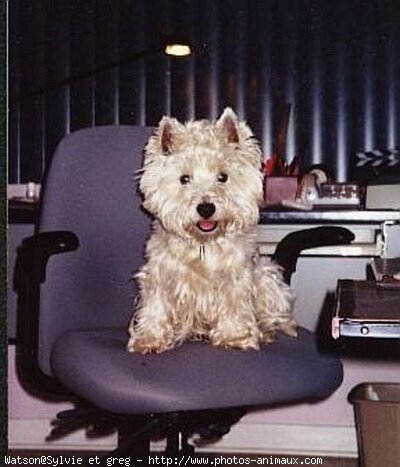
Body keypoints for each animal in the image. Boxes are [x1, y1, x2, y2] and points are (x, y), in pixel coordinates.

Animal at [128, 107, 296, 354]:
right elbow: (156, 304)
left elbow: (234, 303)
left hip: (268, 276)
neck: (202, 244)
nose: (206, 208)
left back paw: (264, 332)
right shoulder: (159, 273)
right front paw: (149, 339)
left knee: (275, 316)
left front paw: (234, 337)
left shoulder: (235, 275)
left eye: (223, 177)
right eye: (184, 178)